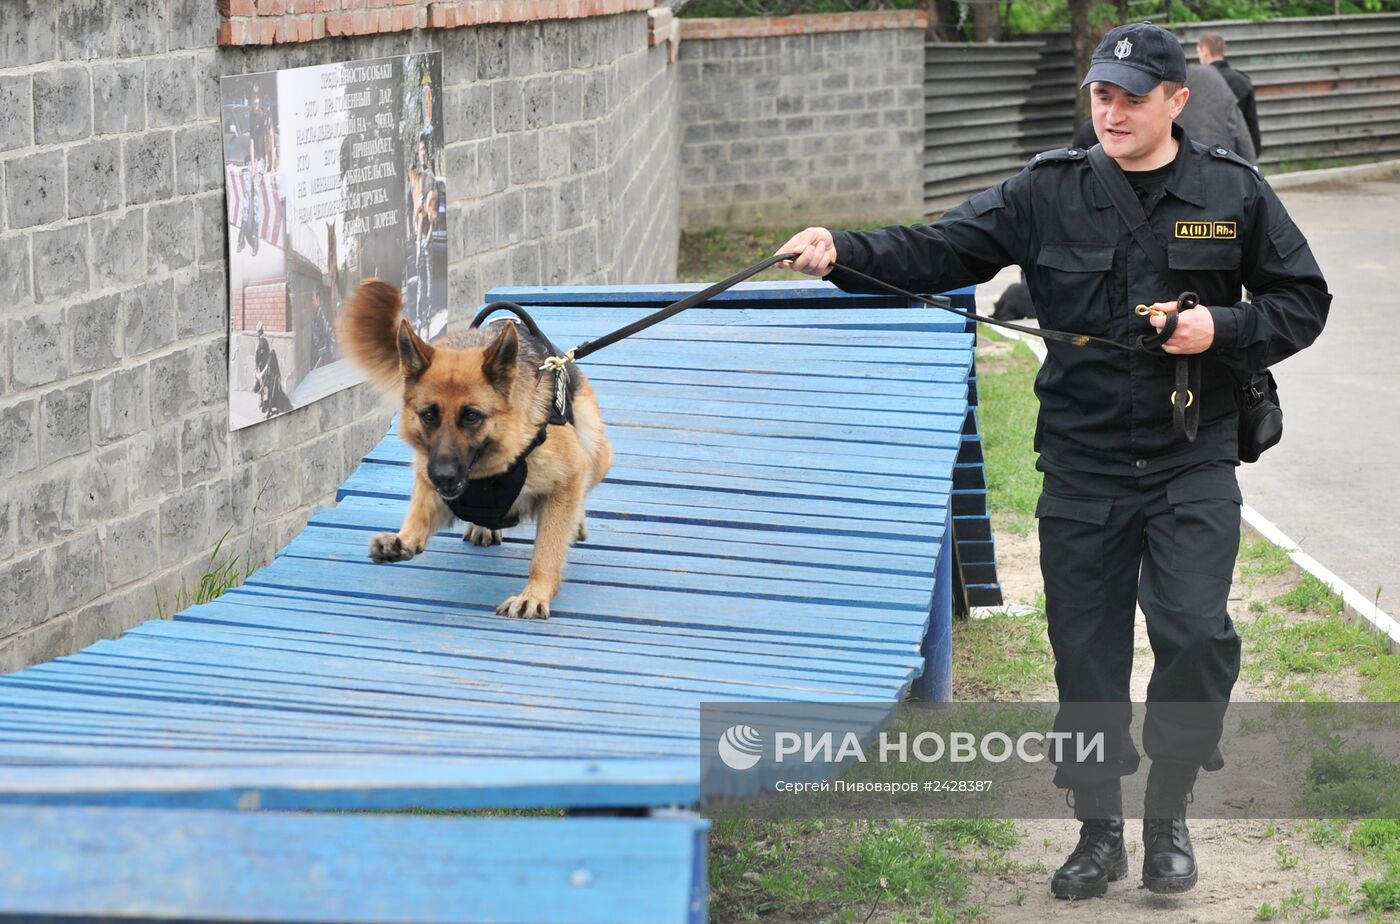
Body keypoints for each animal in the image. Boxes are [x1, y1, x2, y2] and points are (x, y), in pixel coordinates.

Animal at [340, 278, 613, 616]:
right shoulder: (429, 475)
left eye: (471, 416)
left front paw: (535, 593)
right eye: (428, 415)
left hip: (595, 447)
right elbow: (420, 511)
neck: (490, 472)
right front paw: (404, 539)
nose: (443, 476)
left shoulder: (568, 477)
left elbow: (547, 550)